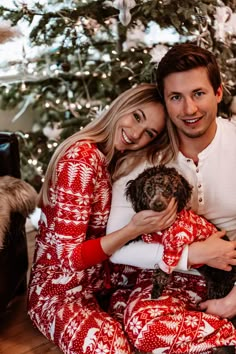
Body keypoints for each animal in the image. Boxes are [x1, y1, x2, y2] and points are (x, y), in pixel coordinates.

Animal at [126, 166, 236, 326]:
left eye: (168, 189)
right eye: (149, 188)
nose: (158, 204)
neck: (165, 227)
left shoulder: (174, 245)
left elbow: (163, 270)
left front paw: (156, 290)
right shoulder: (151, 234)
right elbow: (140, 233)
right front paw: (126, 237)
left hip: (219, 285)